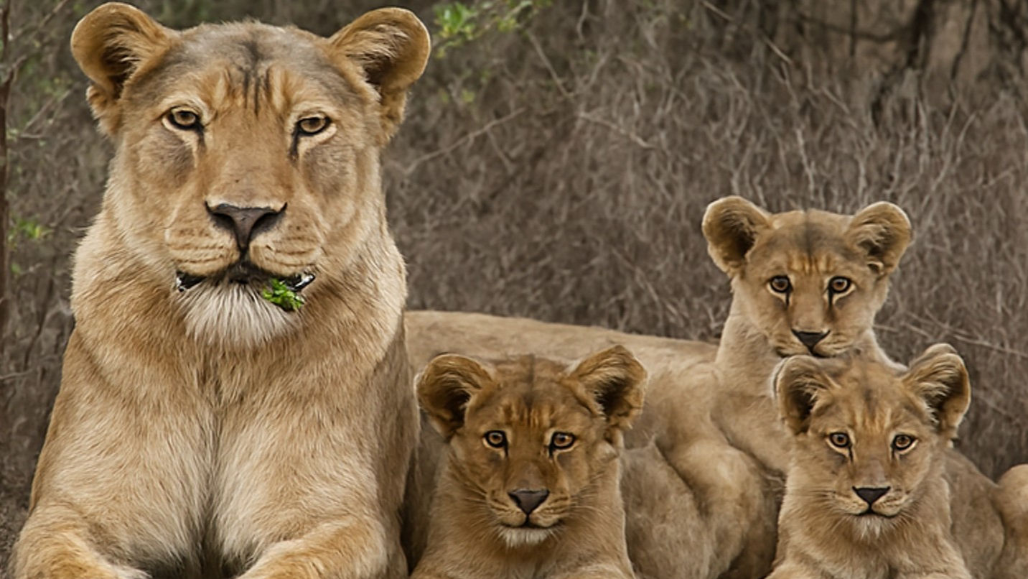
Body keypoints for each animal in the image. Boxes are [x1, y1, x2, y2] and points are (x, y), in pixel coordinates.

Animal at [13, 4, 429, 579]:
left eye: (311, 125)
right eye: (186, 119)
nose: (244, 216)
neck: (224, 360)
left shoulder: (354, 523)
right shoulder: (64, 512)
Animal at [405, 346, 646, 579]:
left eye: (562, 440)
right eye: (496, 438)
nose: (528, 499)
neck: (526, 554)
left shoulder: (602, 562)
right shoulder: (443, 564)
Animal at [769, 345, 1028, 579]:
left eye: (902, 441)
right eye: (840, 440)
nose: (871, 493)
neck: (869, 543)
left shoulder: (944, 565)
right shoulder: (796, 561)